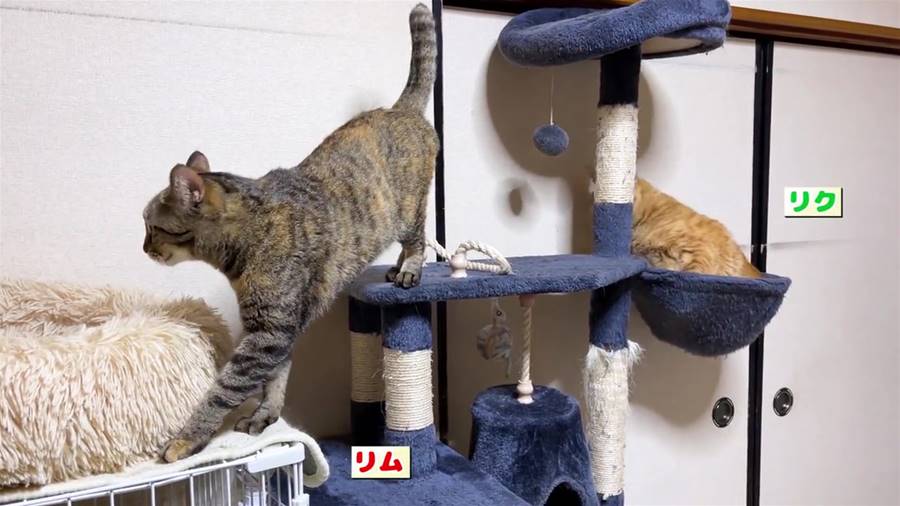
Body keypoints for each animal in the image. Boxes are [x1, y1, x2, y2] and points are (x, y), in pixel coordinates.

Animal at [142, 4, 438, 462]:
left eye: (152, 225)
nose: (143, 247)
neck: (244, 239)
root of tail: (399, 109)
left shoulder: (270, 330)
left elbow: (224, 389)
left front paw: (185, 439)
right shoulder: (277, 329)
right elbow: (276, 380)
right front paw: (266, 415)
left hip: (409, 210)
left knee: (418, 238)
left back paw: (409, 269)